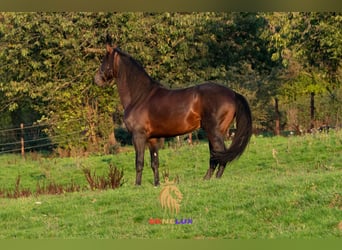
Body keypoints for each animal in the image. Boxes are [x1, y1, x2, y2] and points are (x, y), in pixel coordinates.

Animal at [95, 43, 252, 186]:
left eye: (104, 59)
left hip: (214, 132)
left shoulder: (138, 136)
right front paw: (156, 184)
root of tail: (233, 94)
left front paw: (137, 185)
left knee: (220, 154)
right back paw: (207, 179)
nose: (96, 79)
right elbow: (155, 162)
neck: (140, 96)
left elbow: (139, 162)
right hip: (215, 132)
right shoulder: (152, 139)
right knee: (215, 155)